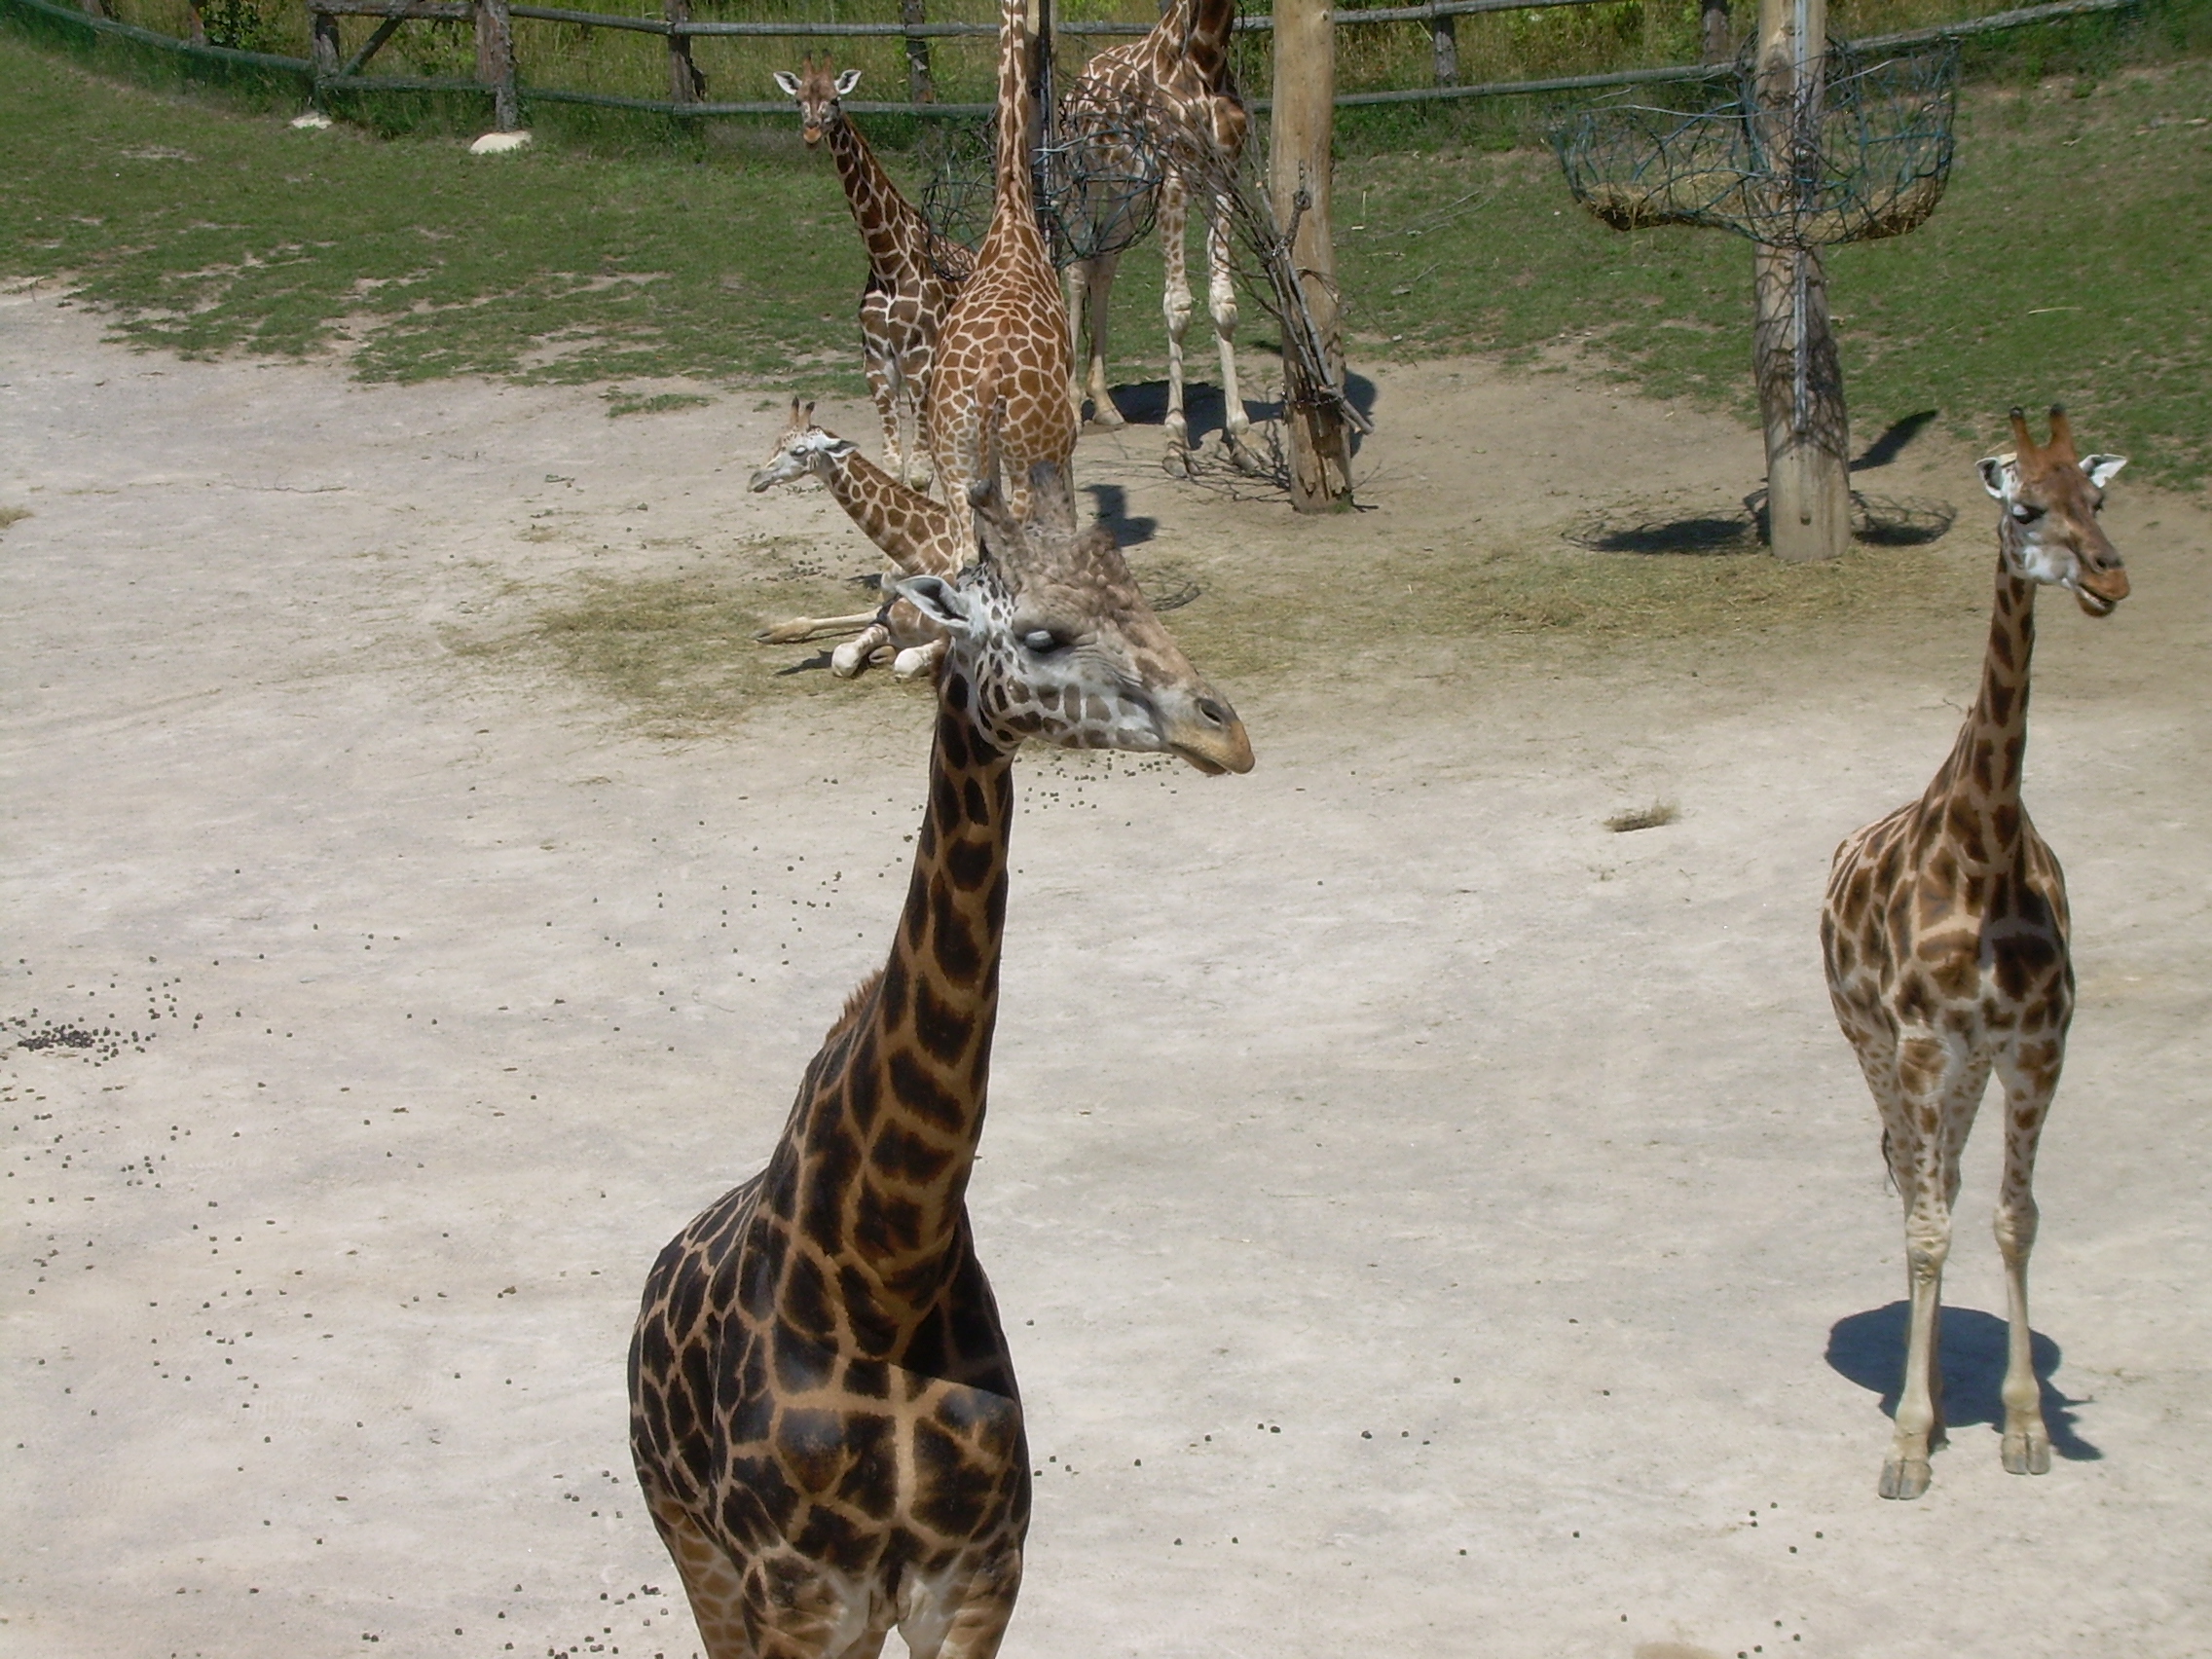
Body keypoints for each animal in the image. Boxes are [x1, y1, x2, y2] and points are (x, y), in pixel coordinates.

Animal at [628, 440, 1254, 1659]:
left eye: (1145, 602)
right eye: (1045, 634)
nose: (1226, 731)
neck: (885, 1273)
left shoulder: (972, 1582)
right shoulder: (798, 1595)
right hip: (689, 1543)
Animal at [750, 397, 962, 681]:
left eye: (799, 451)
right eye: (776, 442)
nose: (755, 479)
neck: (924, 557)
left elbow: (906, 662)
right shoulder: (884, 620)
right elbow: (843, 657)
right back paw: (772, 632)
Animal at [775, 59, 978, 485]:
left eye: (835, 99)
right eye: (800, 99)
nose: (812, 131)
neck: (888, 262)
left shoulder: (920, 362)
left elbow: (920, 474)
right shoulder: (878, 364)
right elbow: (893, 465)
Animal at [1060, 0, 1254, 469]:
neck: (1205, 58)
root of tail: (1080, 80)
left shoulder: (1225, 176)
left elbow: (1224, 303)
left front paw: (1241, 439)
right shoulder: (1175, 178)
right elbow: (1177, 307)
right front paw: (1176, 442)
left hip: (1127, 193)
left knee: (1104, 262)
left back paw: (1105, 405)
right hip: (1080, 178)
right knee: (1076, 267)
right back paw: (1073, 407)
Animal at [1820, 405, 2129, 1501]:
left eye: (2099, 495)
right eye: (2025, 507)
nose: (2110, 578)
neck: (1984, 841)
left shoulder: (2036, 1046)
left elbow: (2012, 1216)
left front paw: (2025, 1428)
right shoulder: (1918, 1045)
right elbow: (1924, 1223)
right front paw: (1908, 1445)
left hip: (1967, 1068)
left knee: (1944, 1182)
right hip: (1872, 1046)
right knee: (1915, 1184)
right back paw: (1923, 1410)